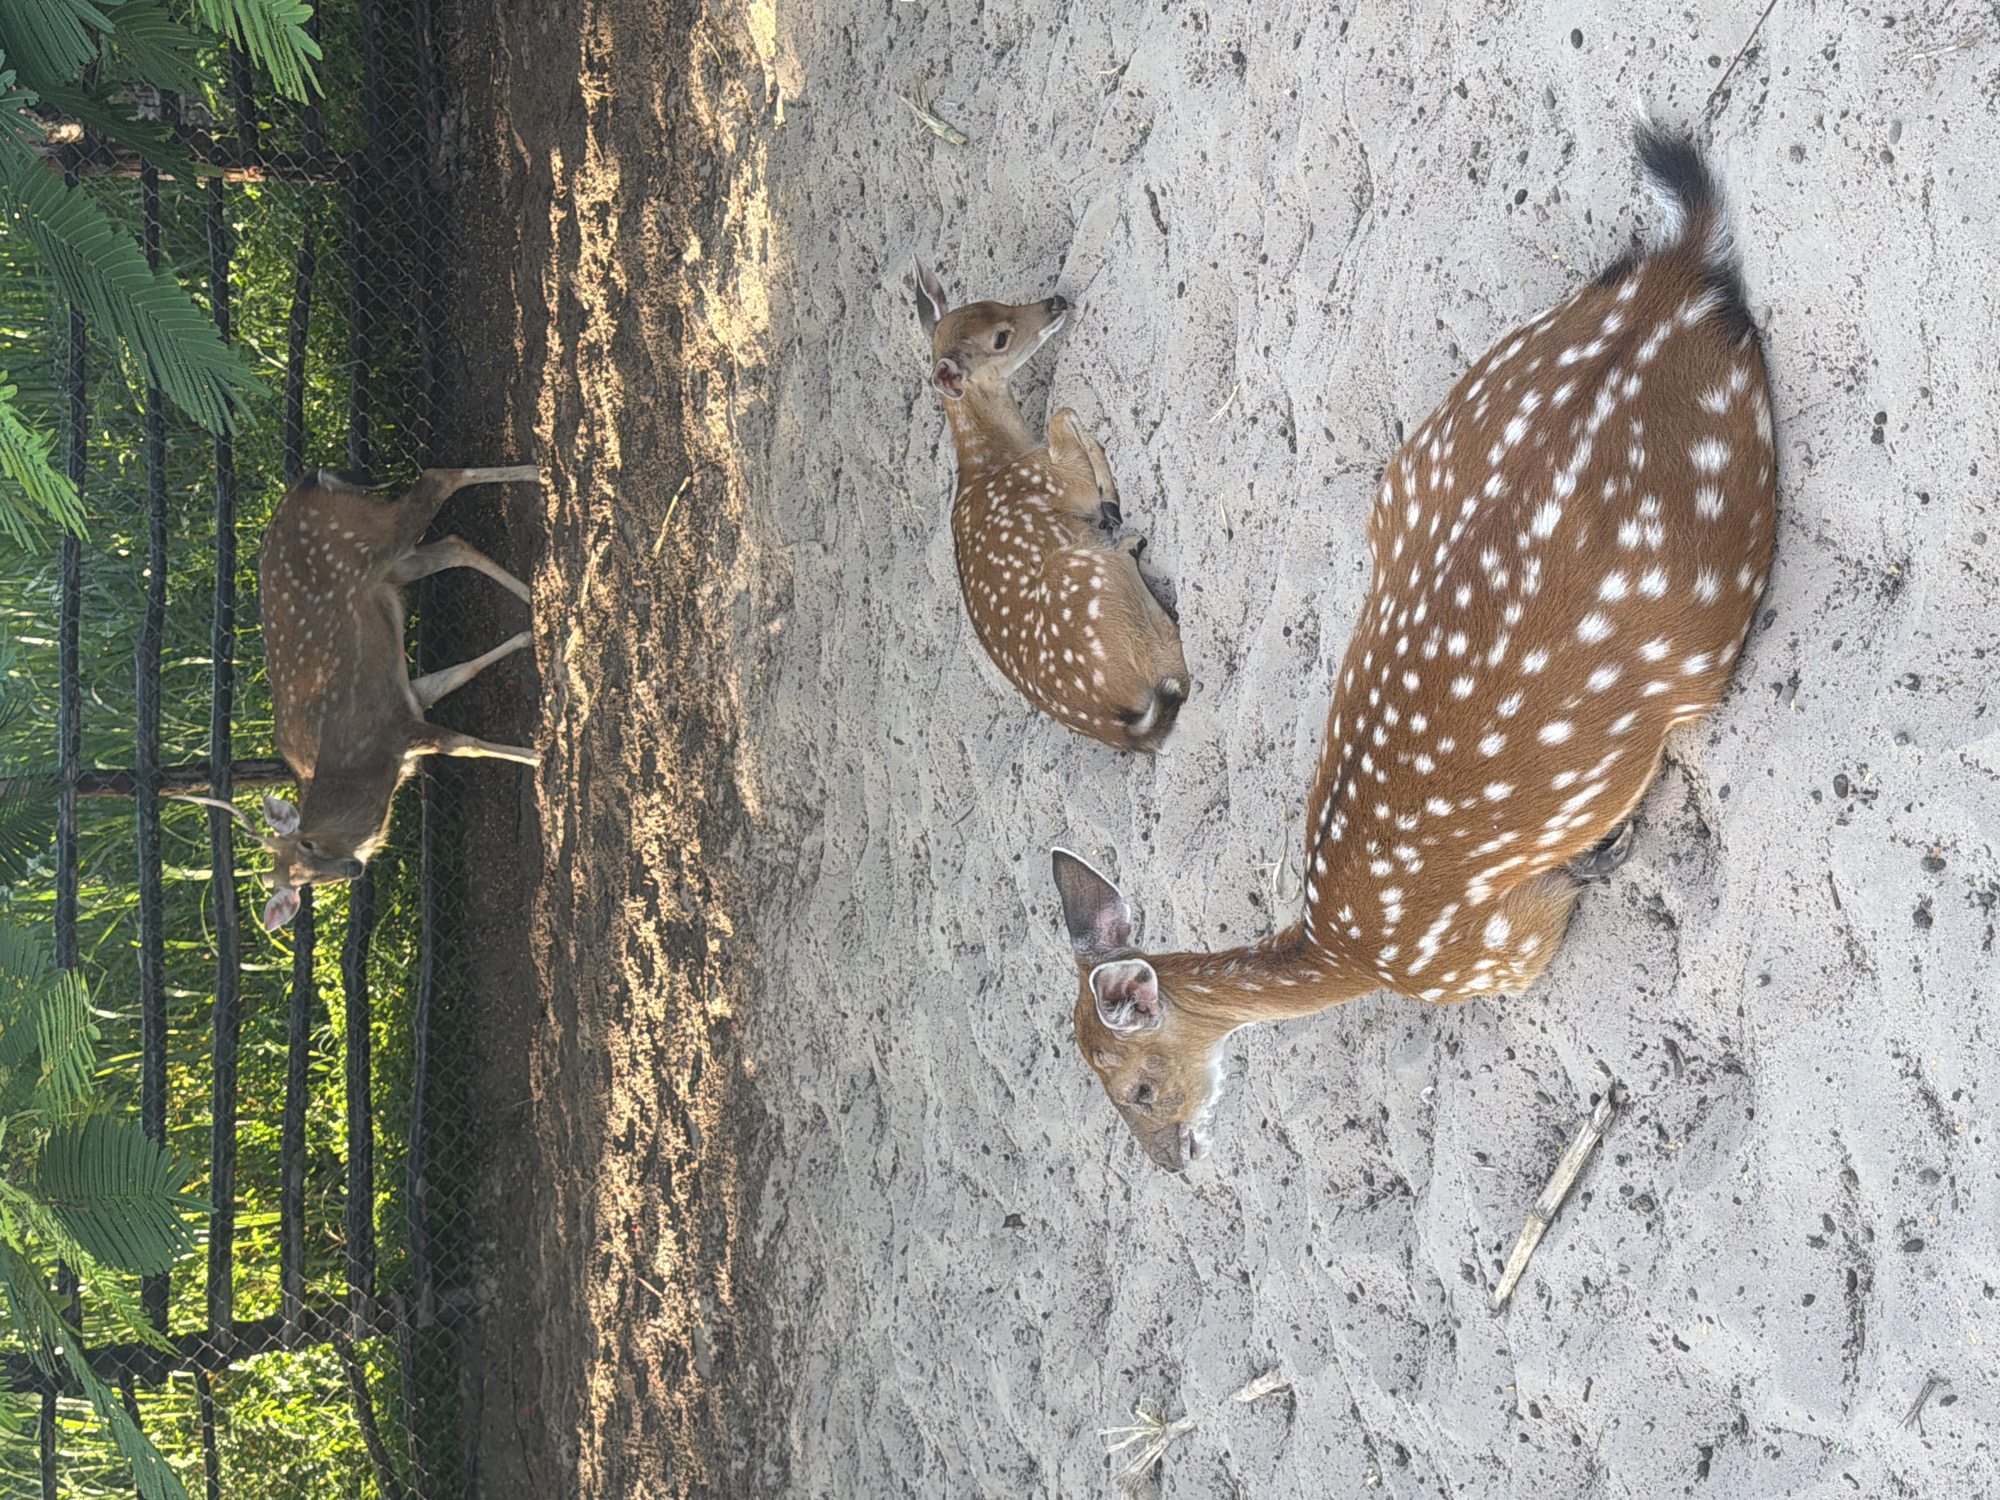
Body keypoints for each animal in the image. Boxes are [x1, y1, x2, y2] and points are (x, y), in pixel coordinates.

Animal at [180, 466, 543, 931]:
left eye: (307, 846)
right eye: (303, 884)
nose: (352, 868)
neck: (363, 771)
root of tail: (313, 480)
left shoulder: (393, 727)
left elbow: (467, 745)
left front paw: (538, 756)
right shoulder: (409, 697)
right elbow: (463, 672)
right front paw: (527, 635)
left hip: (372, 537)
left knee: (438, 478)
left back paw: (538, 472)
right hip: (390, 567)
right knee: (451, 544)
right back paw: (531, 591)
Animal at [914, 260, 1191, 752]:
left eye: (993, 302)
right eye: (1001, 338)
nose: (1056, 300)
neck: (996, 459)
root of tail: (1118, 727)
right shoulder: (1056, 481)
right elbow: (1062, 415)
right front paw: (1109, 500)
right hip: (1082, 574)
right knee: (1178, 674)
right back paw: (1129, 542)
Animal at [1052, 124, 1777, 1171]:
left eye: (1135, 1085)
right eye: (1100, 1081)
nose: (1175, 1162)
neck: (1353, 951)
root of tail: (1668, 286)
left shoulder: (1501, 955)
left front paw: (1606, 849)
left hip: (1710, 603)